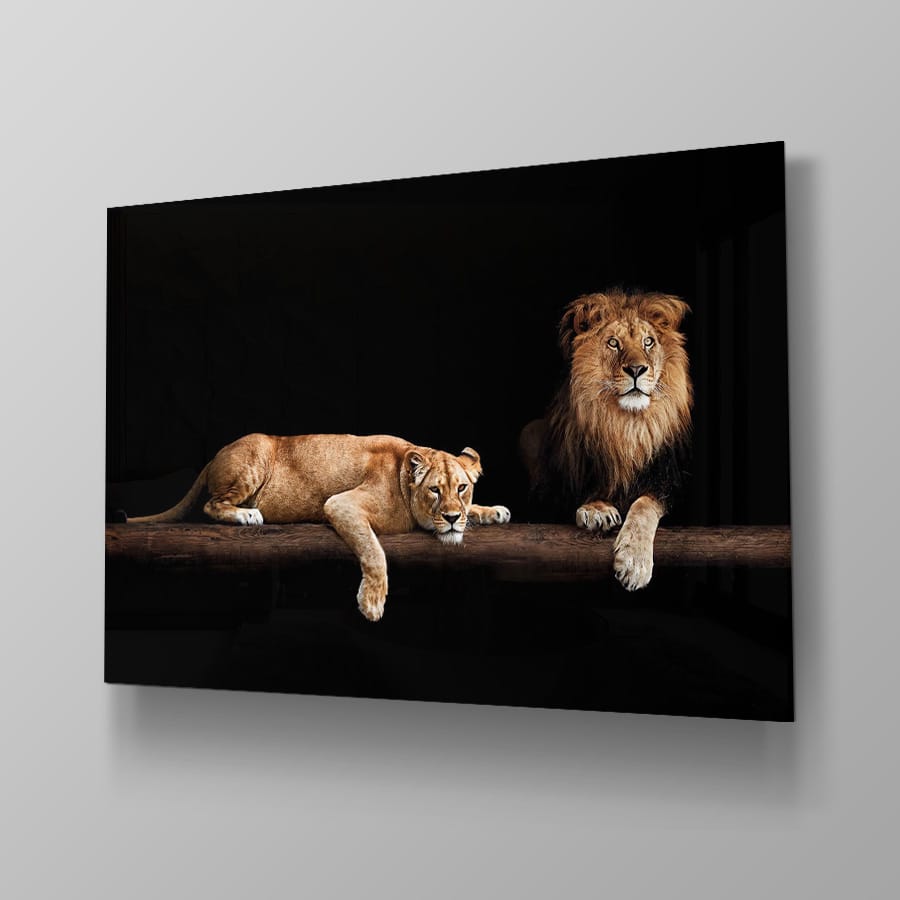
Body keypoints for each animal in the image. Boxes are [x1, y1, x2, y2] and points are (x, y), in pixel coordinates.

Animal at [126, 433, 512, 621]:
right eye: (435, 490)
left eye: (462, 488)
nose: (452, 517)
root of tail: (216, 454)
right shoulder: (340, 504)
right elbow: (375, 552)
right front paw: (372, 604)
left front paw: (492, 511)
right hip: (253, 459)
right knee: (212, 504)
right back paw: (247, 515)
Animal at [521, 289, 692, 591]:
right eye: (613, 343)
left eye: (648, 342)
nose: (636, 369)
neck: (625, 426)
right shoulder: (546, 497)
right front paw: (596, 510)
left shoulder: (672, 482)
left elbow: (645, 504)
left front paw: (635, 563)